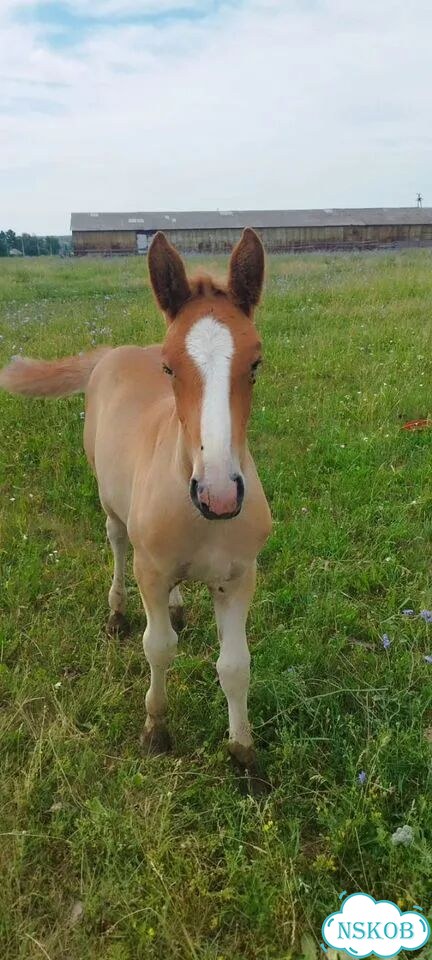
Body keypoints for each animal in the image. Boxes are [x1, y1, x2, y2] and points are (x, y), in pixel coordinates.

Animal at [0, 228, 272, 776]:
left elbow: (235, 666)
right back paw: (118, 613)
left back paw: (179, 604)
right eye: (169, 366)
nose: (218, 494)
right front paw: (156, 731)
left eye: (255, 363)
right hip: (111, 508)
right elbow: (159, 648)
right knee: (117, 544)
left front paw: (244, 756)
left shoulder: (239, 575)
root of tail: (112, 352)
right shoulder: (151, 568)